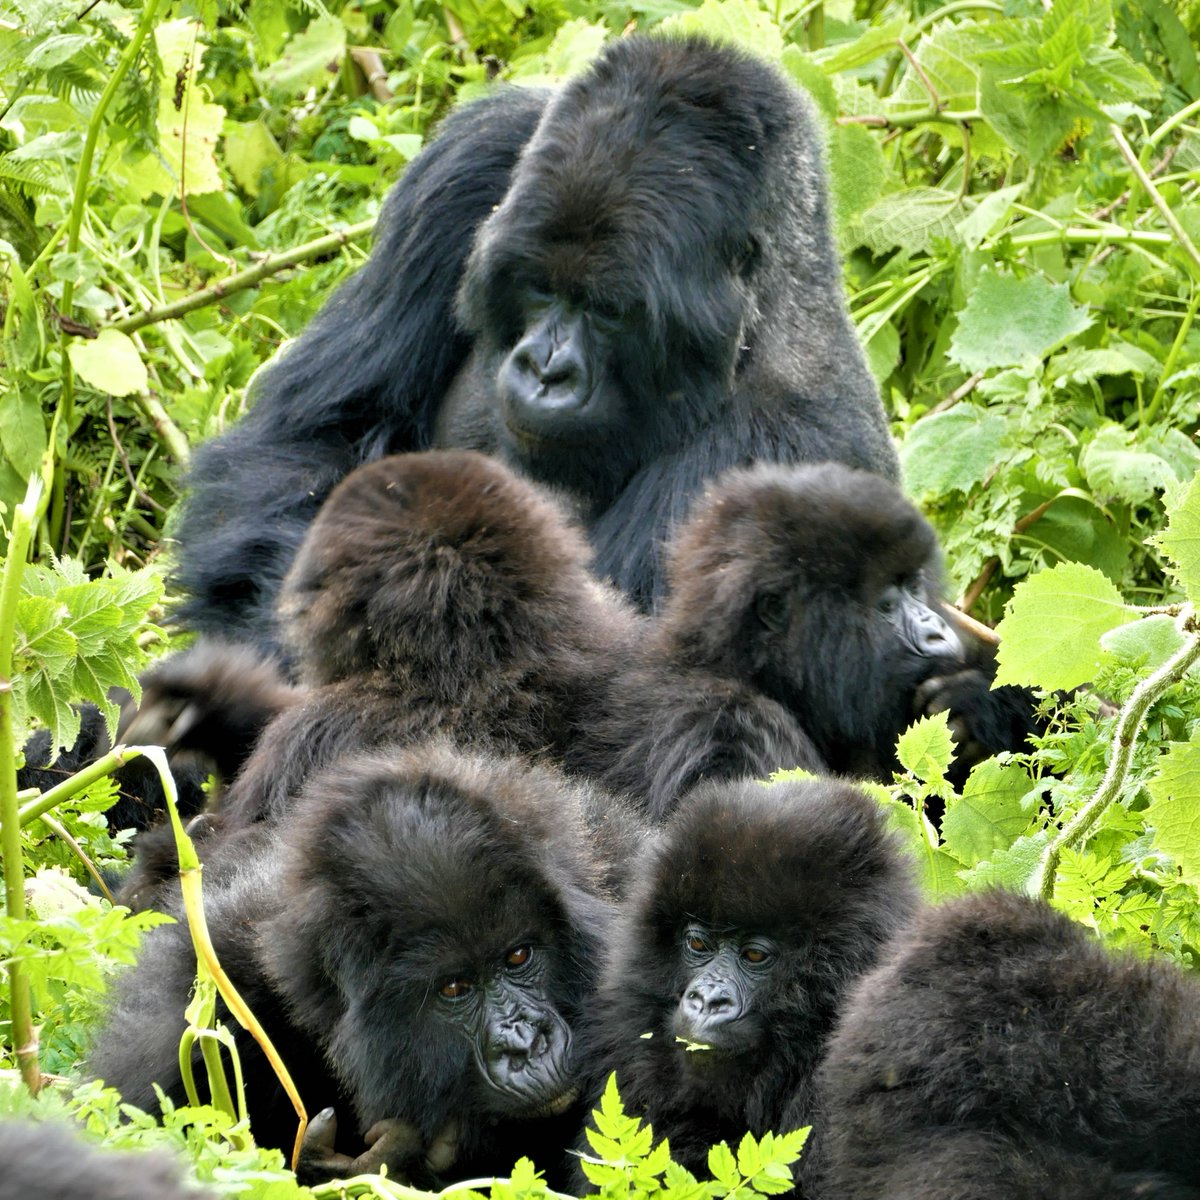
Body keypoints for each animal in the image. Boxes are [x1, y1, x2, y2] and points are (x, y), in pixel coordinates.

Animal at [174, 35, 897, 657]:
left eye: (610, 311)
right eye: (539, 286)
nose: (545, 370)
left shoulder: (782, 450)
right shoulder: (475, 155)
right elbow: (314, 436)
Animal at [566, 463, 1036, 820]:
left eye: (915, 587)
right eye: (886, 605)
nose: (938, 630)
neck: (756, 674)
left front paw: (980, 704)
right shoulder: (727, 731)